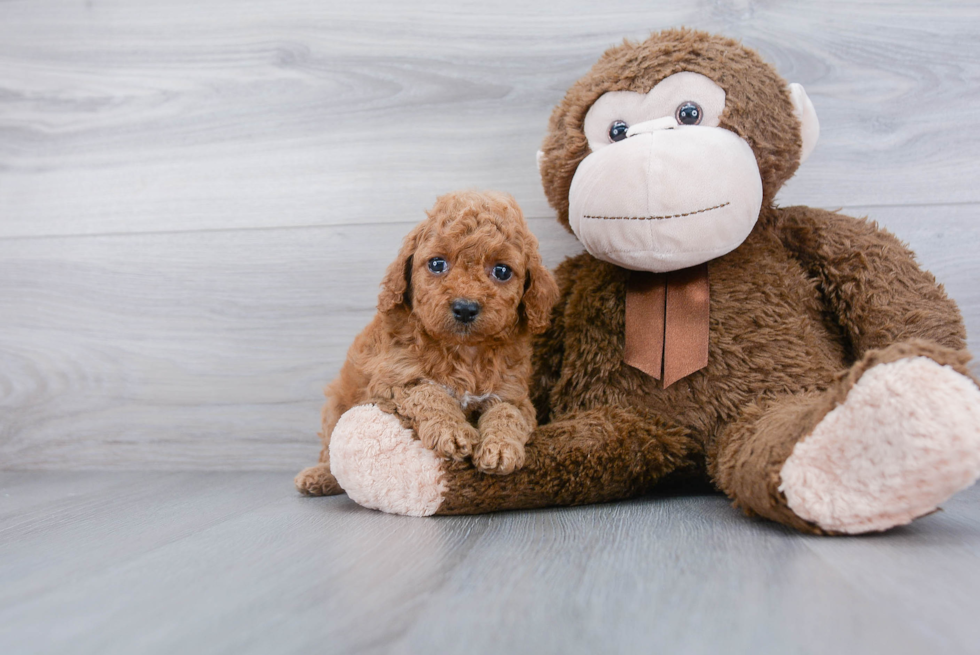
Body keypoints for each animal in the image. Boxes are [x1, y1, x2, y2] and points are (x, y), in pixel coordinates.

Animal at [294, 190, 560, 498]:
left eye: (502, 271)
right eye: (436, 264)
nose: (465, 308)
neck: (464, 350)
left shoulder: (513, 394)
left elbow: (507, 413)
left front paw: (500, 448)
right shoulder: (393, 382)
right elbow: (430, 393)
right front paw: (452, 432)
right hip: (335, 407)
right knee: (331, 451)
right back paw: (318, 476)